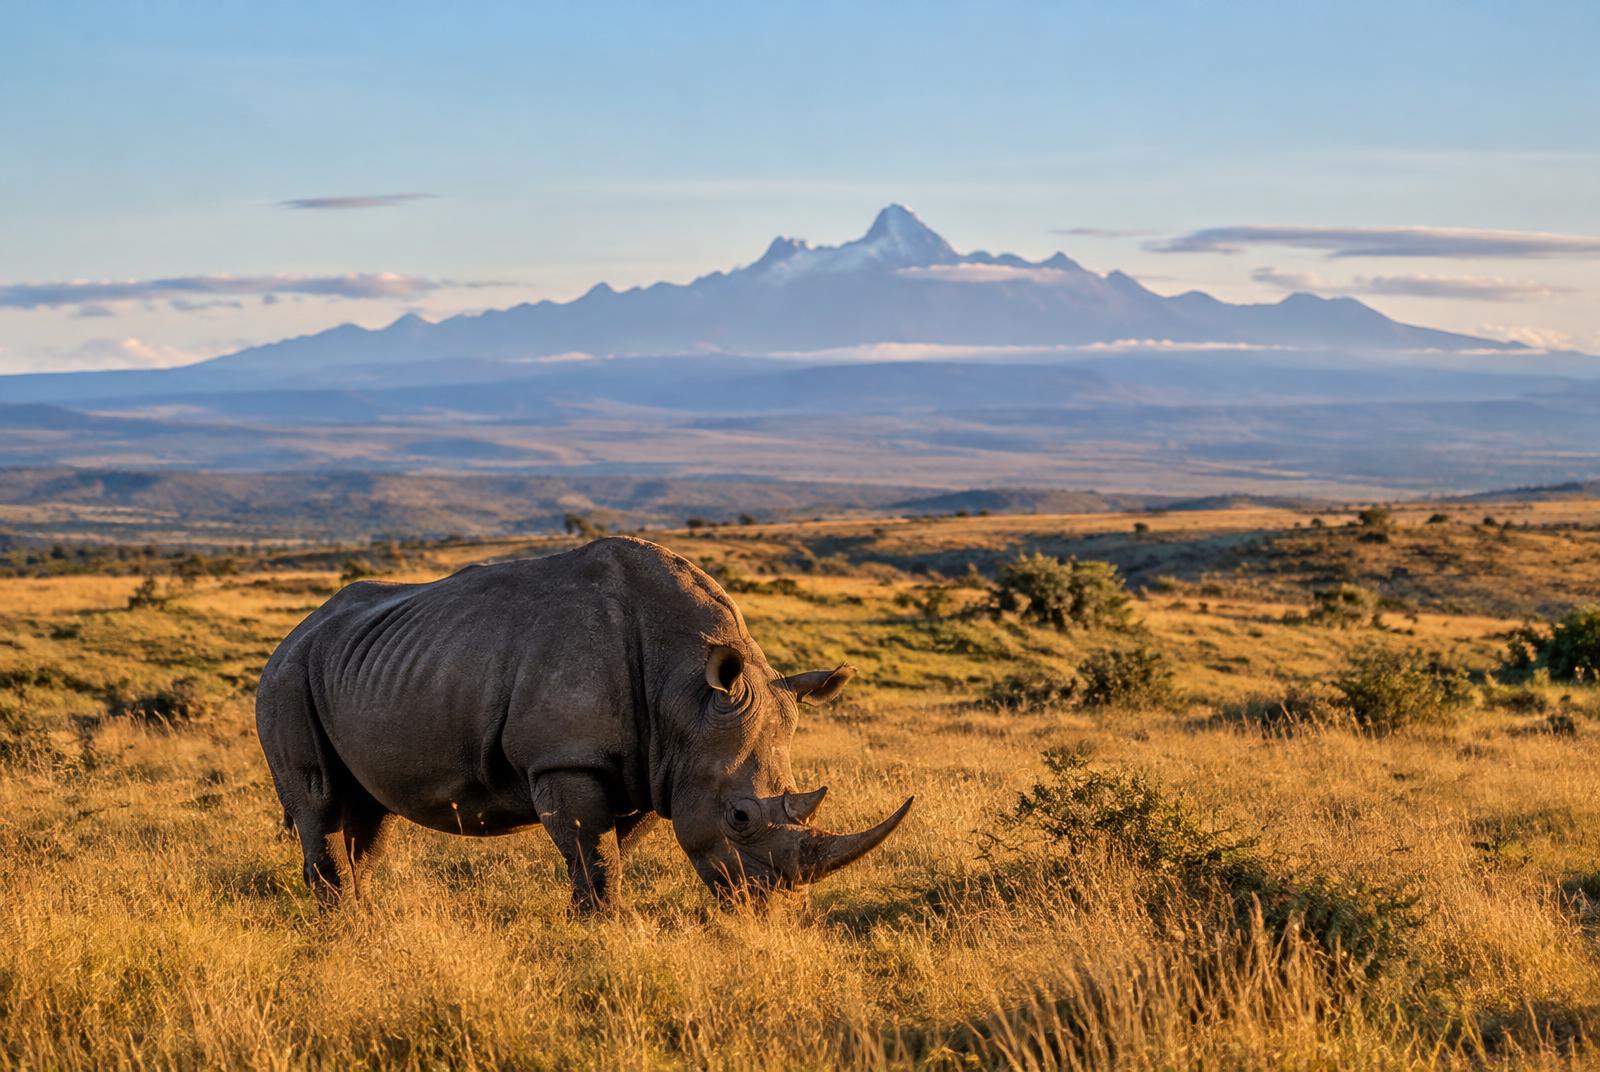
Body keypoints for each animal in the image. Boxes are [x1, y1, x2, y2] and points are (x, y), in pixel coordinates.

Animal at [255, 536, 912, 911]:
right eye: (741, 817)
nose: (766, 907)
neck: (687, 694)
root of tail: (294, 631)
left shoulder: (654, 766)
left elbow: (604, 849)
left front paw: (586, 917)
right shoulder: (565, 756)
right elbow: (592, 848)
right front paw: (604, 925)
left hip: (353, 666)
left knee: (369, 814)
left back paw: (364, 919)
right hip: (285, 679)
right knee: (319, 800)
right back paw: (339, 924)